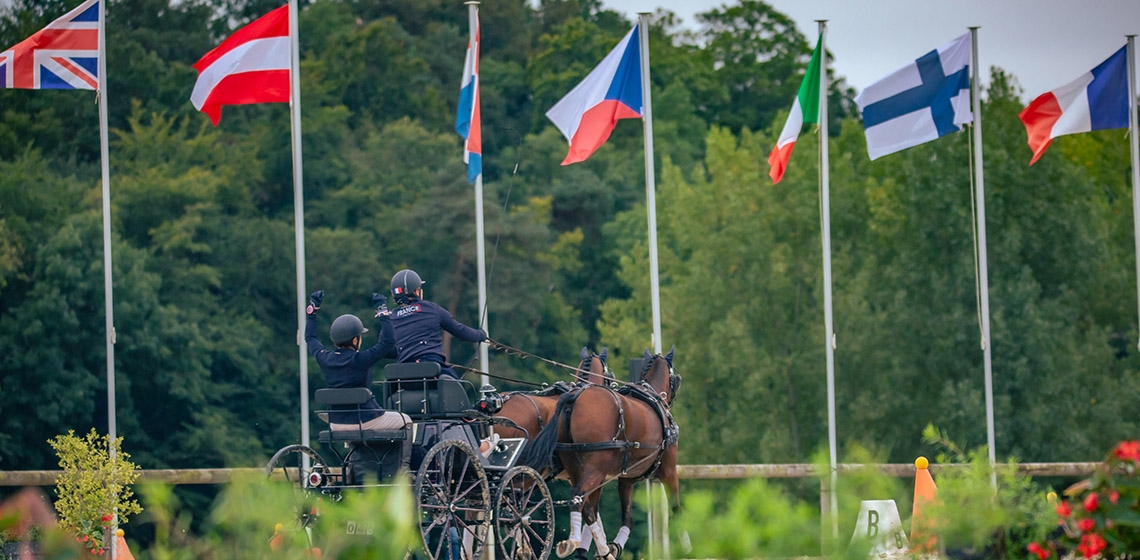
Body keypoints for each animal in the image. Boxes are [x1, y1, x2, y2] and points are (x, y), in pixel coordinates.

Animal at [522, 349, 679, 558]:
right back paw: (574, 542)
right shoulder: (668, 470)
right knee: (577, 497)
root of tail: (573, 398)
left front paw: (610, 547)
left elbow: (621, 517)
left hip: (576, 466)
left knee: (585, 507)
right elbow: (676, 509)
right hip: (594, 469)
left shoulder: (624, 478)